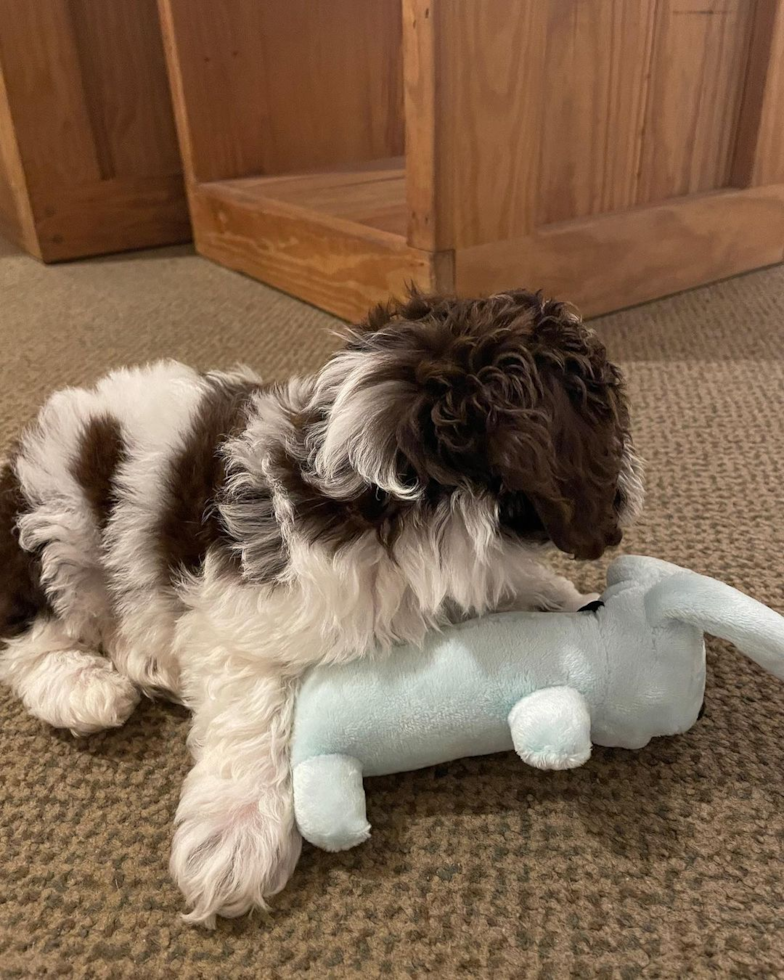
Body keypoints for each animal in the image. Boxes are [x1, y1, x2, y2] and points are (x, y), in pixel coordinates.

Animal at [0, 290, 644, 928]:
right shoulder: (237, 617)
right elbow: (255, 706)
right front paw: (234, 834)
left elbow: (517, 585)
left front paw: (574, 603)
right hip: (58, 520)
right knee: (33, 632)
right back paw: (84, 688)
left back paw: (146, 658)